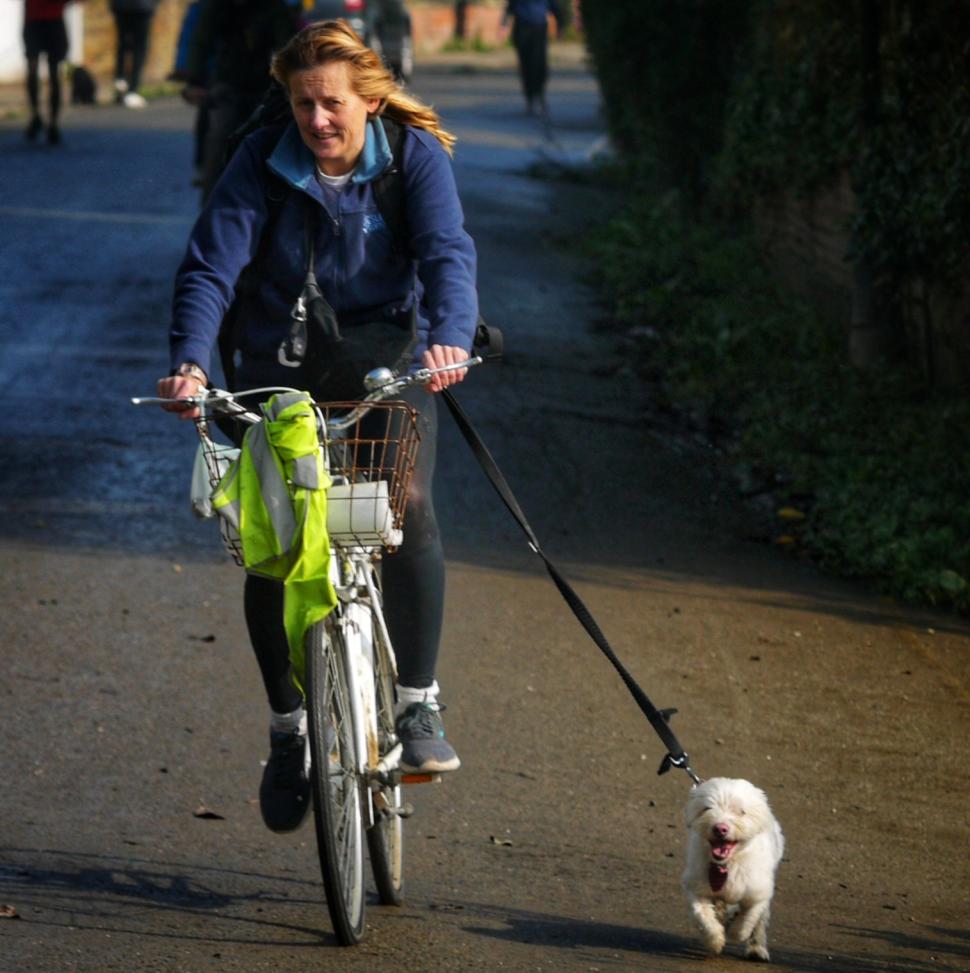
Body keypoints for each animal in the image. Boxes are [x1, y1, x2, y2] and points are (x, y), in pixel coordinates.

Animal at [680, 780, 780, 960]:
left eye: (741, 812)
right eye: (707, 808)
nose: (720, 828)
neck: (725, 864)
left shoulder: (758, 893)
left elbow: (749, 917)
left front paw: (738, 932)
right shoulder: (697, 887)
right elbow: (703, 915)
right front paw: (715, 940)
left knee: (760, 921)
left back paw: (756, 948)